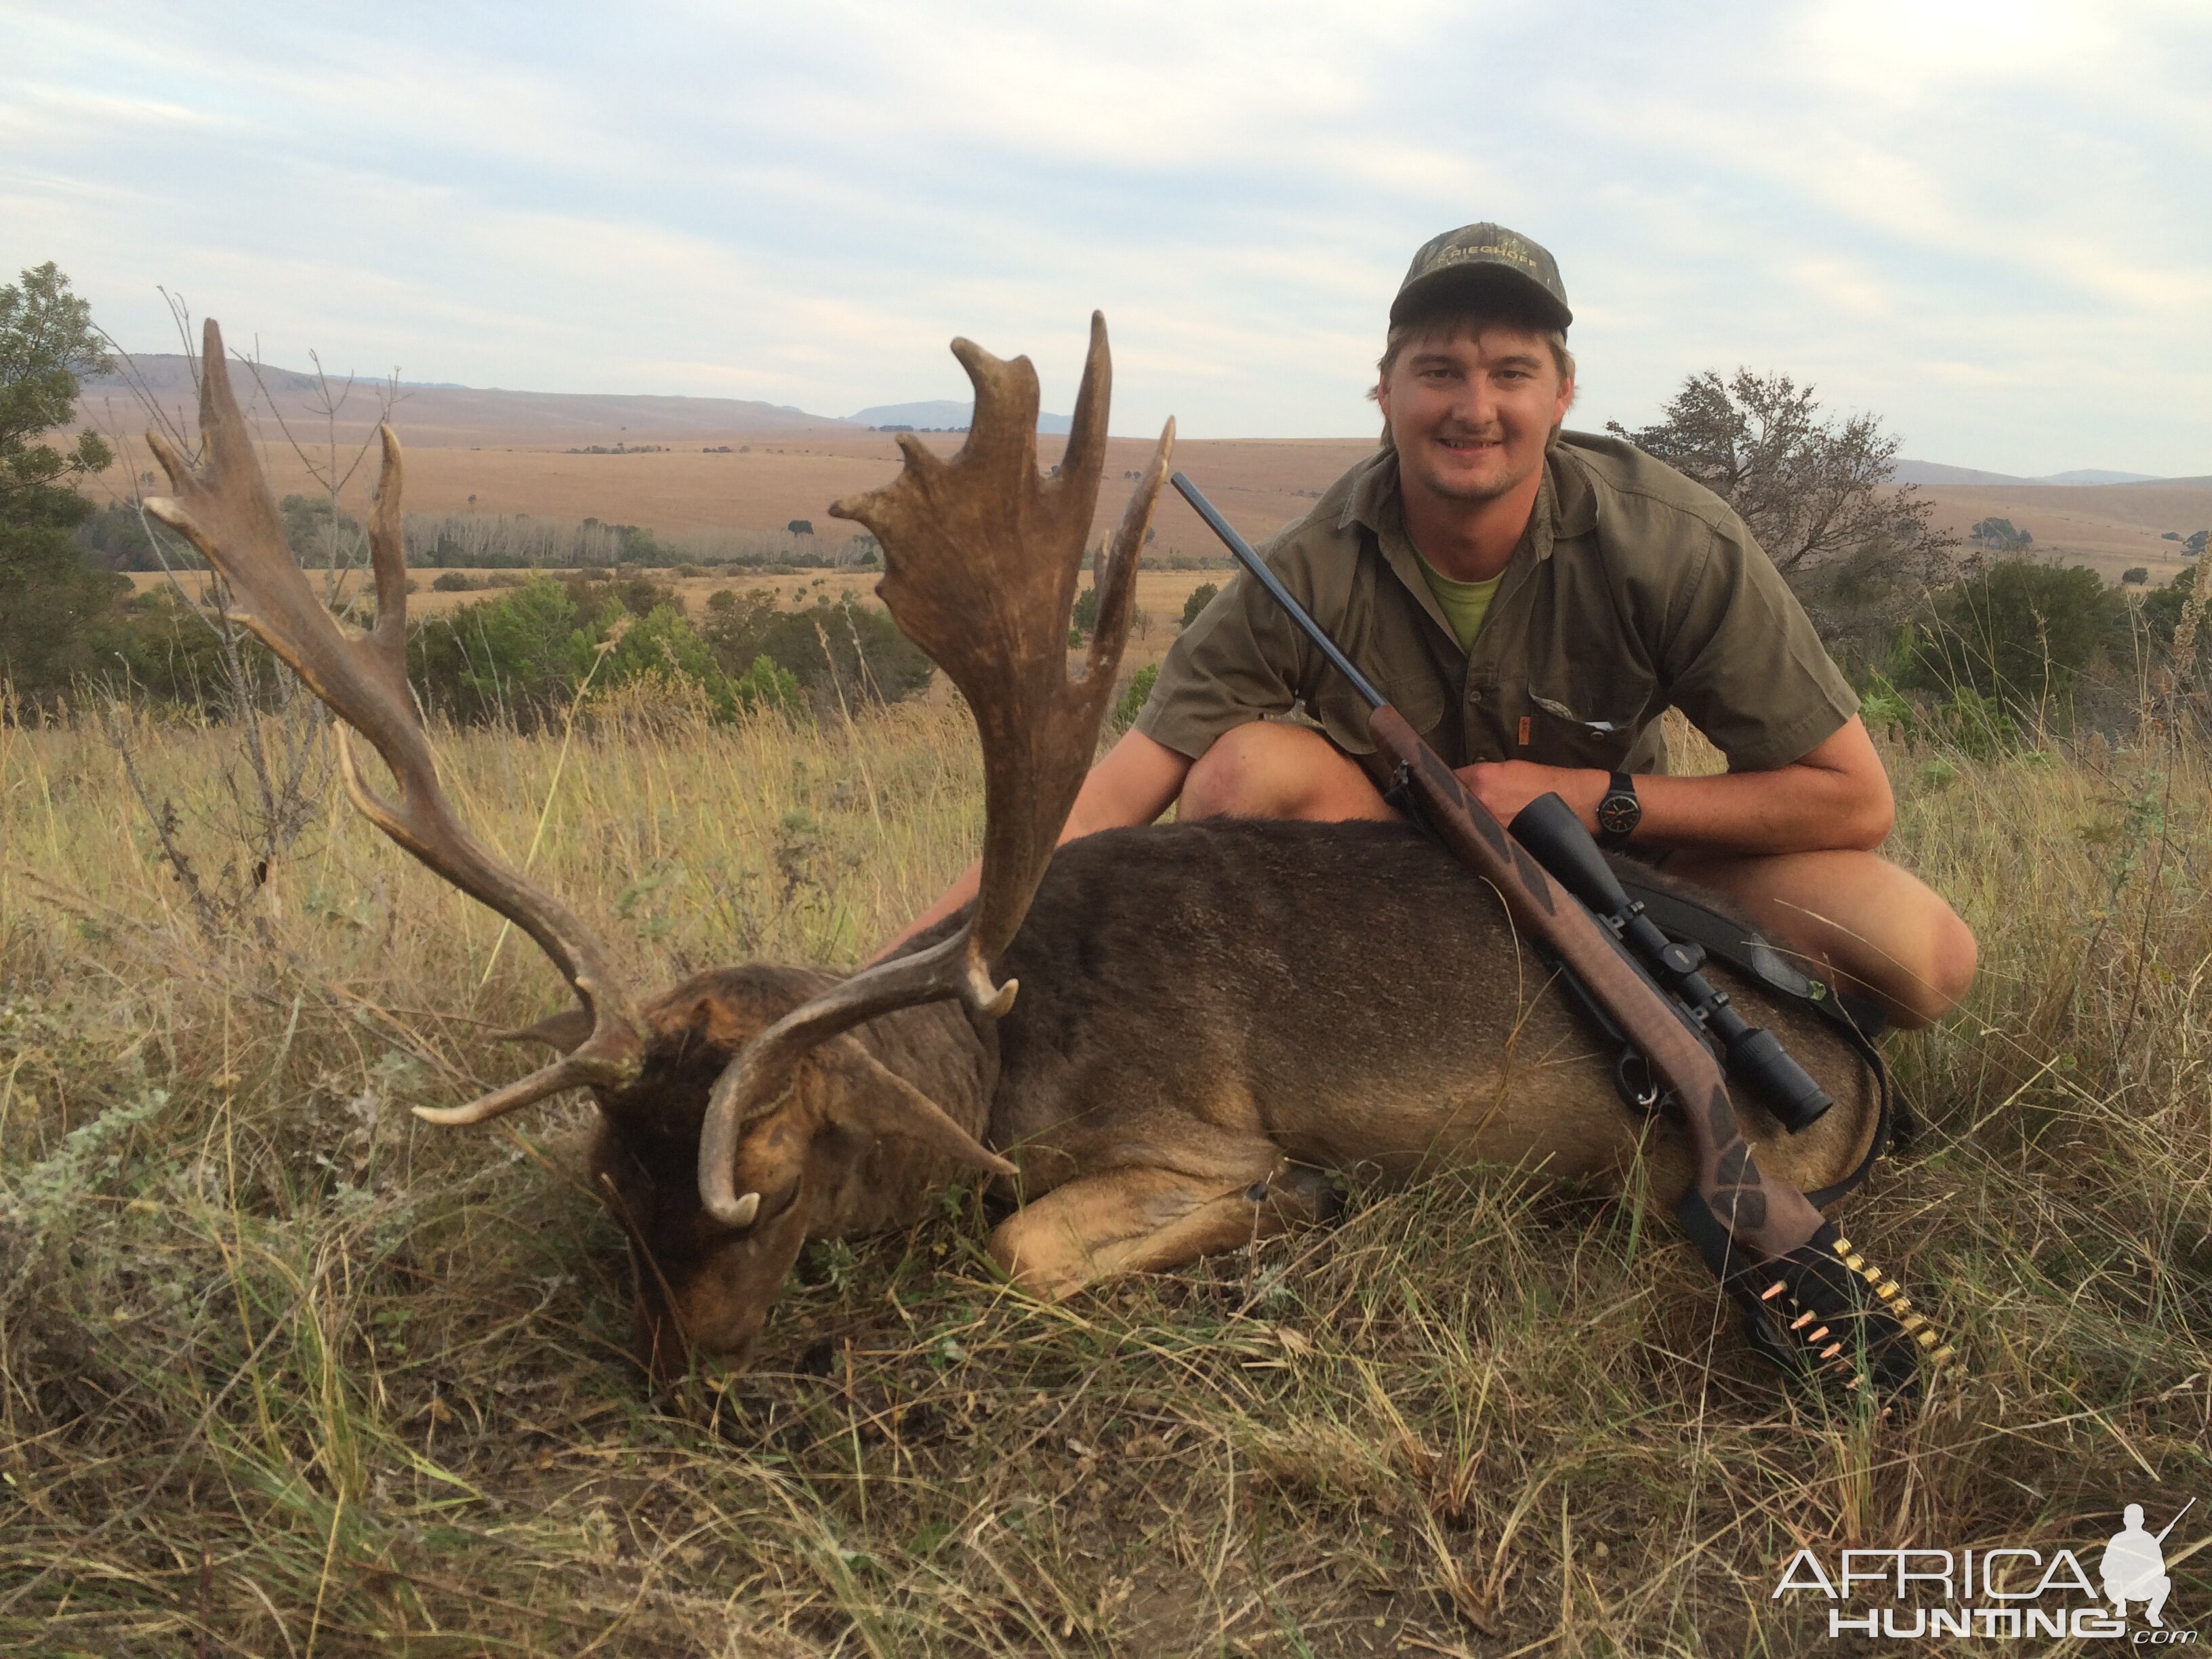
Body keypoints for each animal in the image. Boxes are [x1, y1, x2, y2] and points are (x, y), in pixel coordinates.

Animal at [147, 312, 1920, 1389]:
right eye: (604, 1177)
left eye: (772, 1186)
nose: (678, 1374)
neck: (997, 1060)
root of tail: (1859, 1073)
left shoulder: (1187, 1129)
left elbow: (1023, 1246)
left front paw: (1296, 1213)